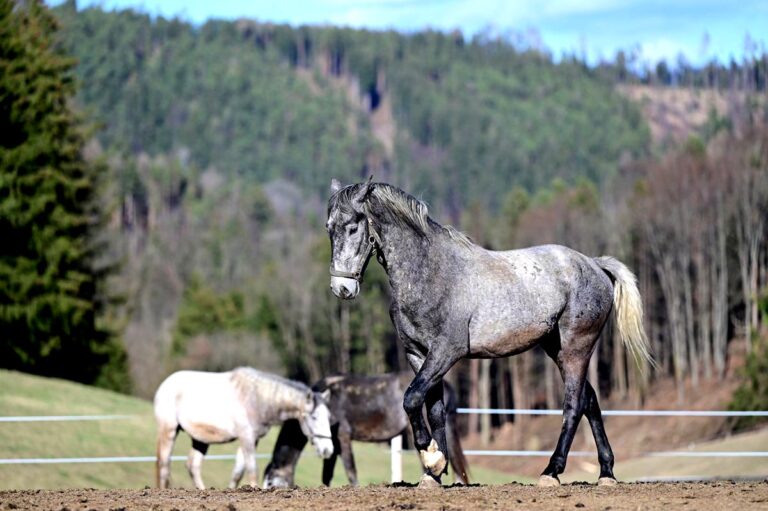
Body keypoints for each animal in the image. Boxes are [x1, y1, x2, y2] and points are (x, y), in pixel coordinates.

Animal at [153, 367, 334, 489]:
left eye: (328, 417)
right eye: (314, 417)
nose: (328, 450)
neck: (256, 398)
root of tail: (165, 384)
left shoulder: (252, 440)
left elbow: (238, 473)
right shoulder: (246, 437)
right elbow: (252, 469)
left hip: (200, 440)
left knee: (193, 466)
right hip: (169, 430)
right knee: (164, 463)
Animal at [326, 178, 653, 487]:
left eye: (353, 227)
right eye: (329, 228)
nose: (342, 288)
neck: (431, 272)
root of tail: (595, 265)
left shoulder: (447, 351)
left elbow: (412, 398)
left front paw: (432, 458)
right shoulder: (417, 355)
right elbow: (433, 408)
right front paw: (434, 474)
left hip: (577, 348)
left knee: (573, 406)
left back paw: (551, 472)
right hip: (557, 349)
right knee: (590, 401)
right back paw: (606, 472)